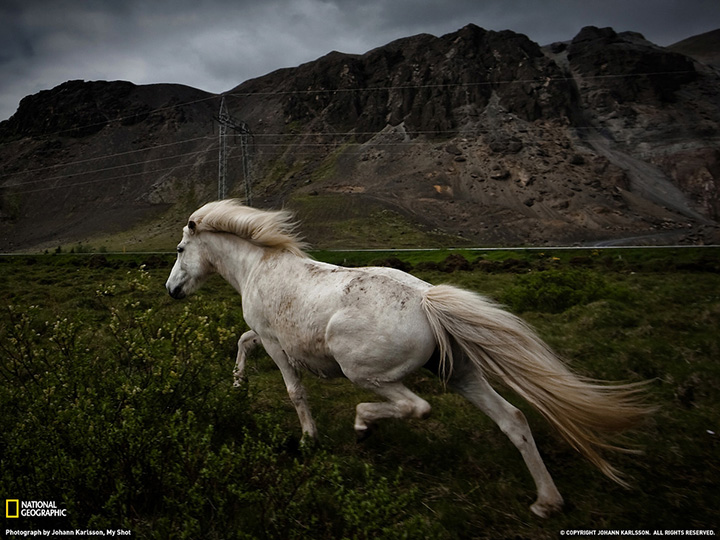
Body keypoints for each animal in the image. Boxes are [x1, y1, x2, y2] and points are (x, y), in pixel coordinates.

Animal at [167, 199, 652, 520]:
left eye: (179, 250)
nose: (171, 291)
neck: (259, 266)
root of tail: (426, 300)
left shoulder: (275, 343)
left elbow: (293, 390)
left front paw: (307, 440)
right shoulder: (270, 339)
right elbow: (242, 343)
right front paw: (236, 387)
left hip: (366, 372)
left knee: (414, 406)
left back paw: (363, 426)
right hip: (460, 374)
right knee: (513, 419)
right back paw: (547, 502)